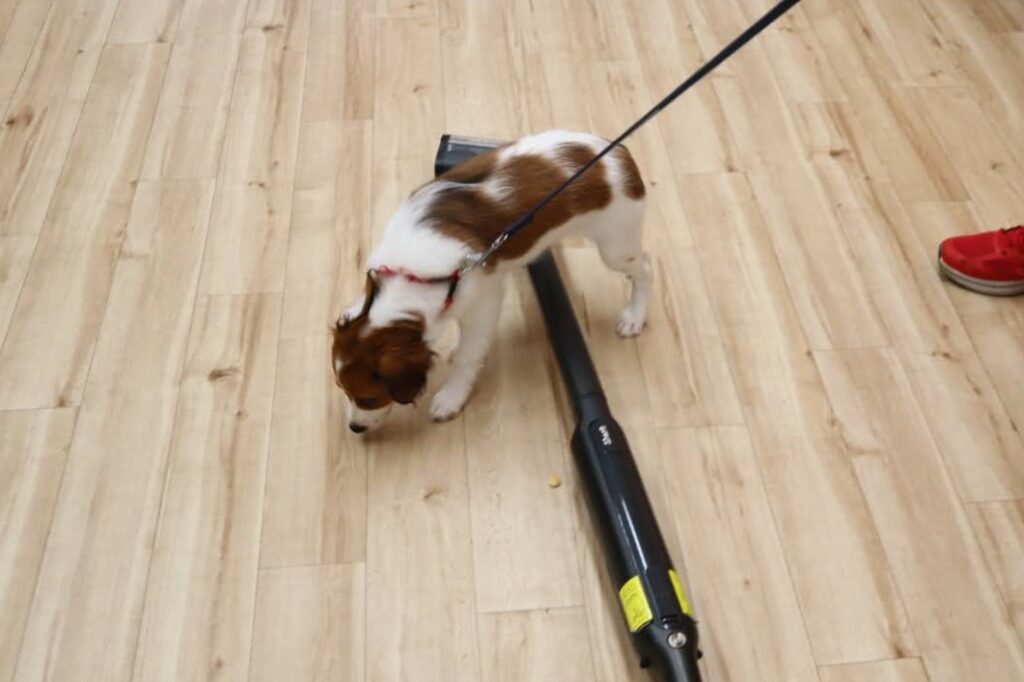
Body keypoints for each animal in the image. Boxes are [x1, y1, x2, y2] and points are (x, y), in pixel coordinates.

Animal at [331, 130, 651, 432]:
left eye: (369, 398)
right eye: (343, 391)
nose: (355, 428)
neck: (411, 275)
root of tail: (619, 153)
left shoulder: (484, 301)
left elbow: (469, 355)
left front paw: (451, 396)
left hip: (615, 246)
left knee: (645, 267)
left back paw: (634, 316)